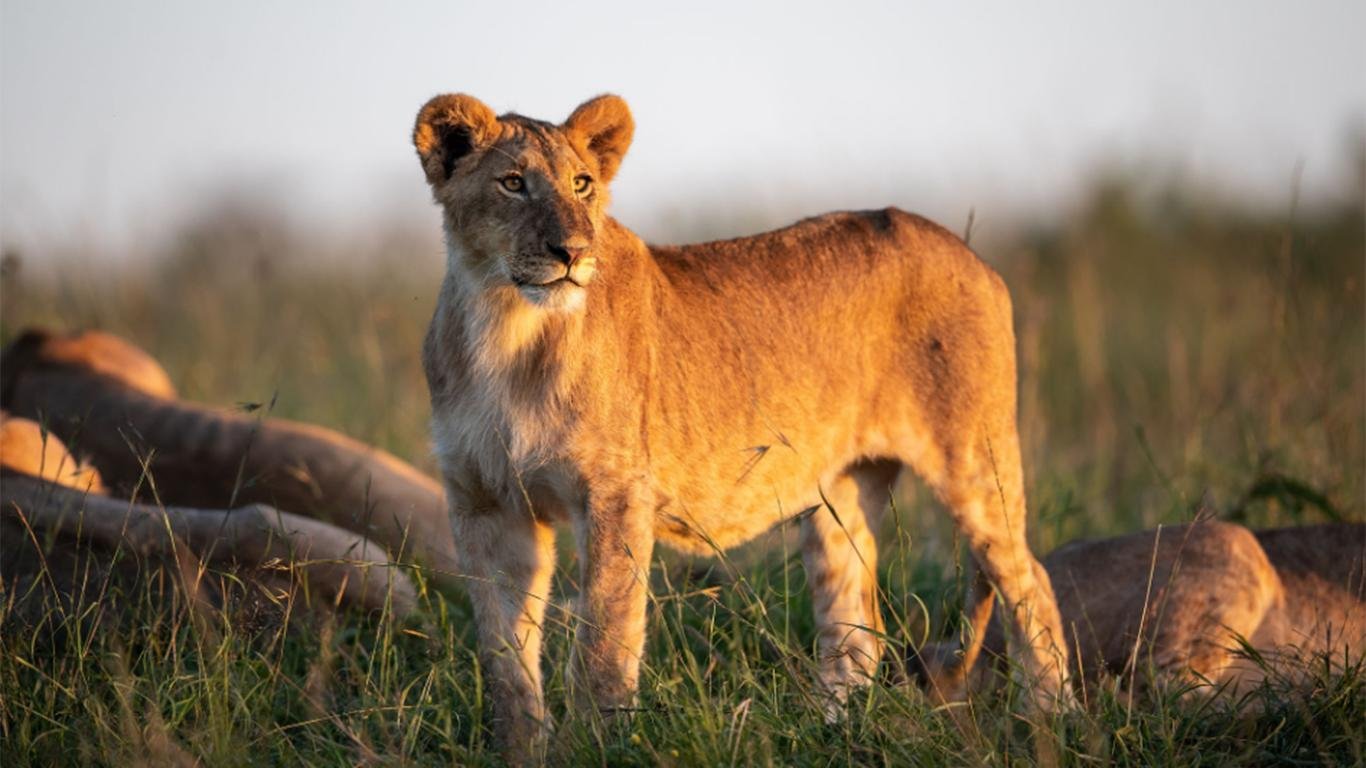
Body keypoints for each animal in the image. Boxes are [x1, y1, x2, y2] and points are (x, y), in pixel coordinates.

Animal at [412, 92, 1071, 758]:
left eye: (582, 185)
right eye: (512, 183)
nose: (572, 253)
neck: (507, 329)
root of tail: (971, 254)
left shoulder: (616, 493)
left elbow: (603, 637)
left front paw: (599, 746)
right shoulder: (485, 504)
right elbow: (505, 653)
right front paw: (522, 750)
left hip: (972, 457)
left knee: (1031, 583)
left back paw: (1053, 720)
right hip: (839, 496)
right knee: (854, 629)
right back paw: (829, 734)